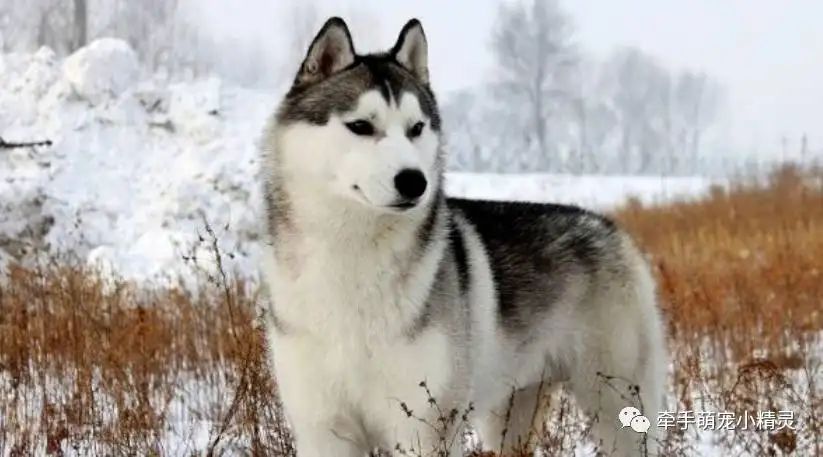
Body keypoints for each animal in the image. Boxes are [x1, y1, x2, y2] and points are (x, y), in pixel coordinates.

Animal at [260, 15, 672, 456]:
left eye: (416, 129)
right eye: (360, 126)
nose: (414, 181)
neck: (352, 259)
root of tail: (610, 227)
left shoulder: (424, 426)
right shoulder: (323, 427)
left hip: (617, 408)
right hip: (506, 416)